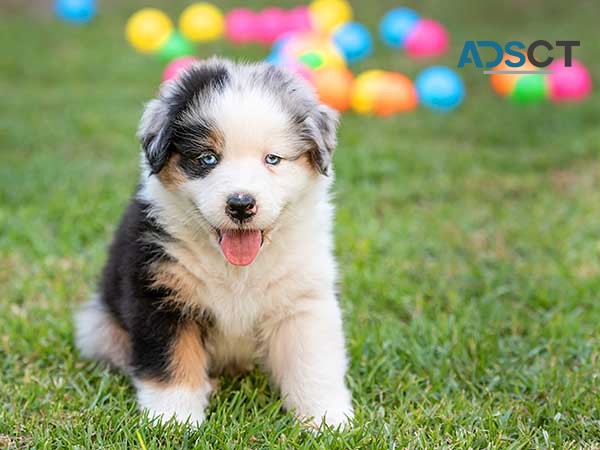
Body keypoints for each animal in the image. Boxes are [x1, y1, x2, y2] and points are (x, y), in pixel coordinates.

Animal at [77, 58, 354, 428]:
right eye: (207, 158)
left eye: (273, 159)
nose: (240, 204)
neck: (237, 270)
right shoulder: (160, 292)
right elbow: (172, 361)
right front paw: (174, 419)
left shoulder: (303, 298)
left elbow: (313, 363)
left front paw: (328, 422)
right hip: (100, 325)